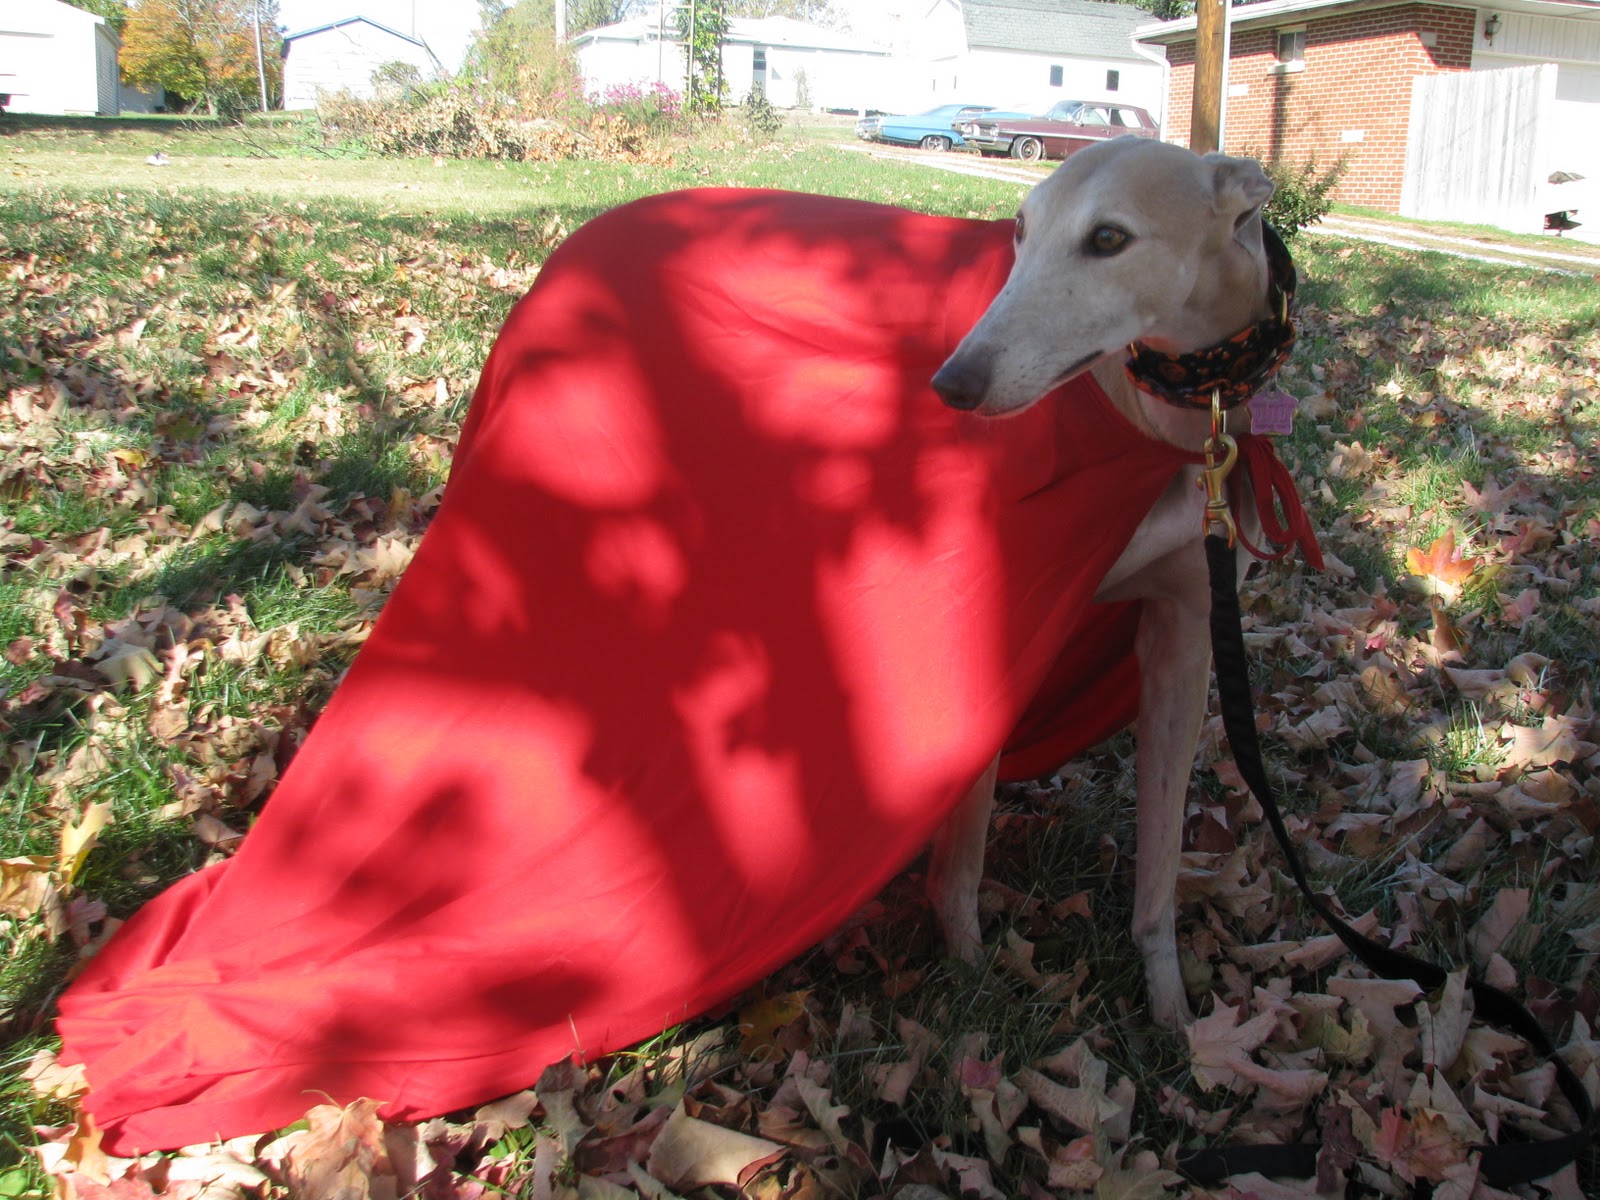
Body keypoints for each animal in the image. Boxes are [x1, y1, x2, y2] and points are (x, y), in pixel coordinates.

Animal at [921, 136, 1280, 1030]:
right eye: (1019, 228)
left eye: (1109, 238)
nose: (952, 385)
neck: (1174, 419)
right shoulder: (1009, 616)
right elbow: (960, 862)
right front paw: (973, 989)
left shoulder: (1186, 630)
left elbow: (1160, 861)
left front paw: (1174, 1014)